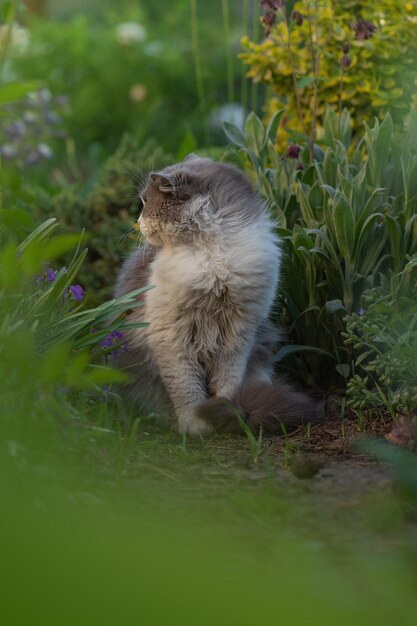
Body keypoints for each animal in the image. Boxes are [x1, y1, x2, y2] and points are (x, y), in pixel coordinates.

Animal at [114, 154, 316, 434]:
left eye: (145, 203)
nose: (138, 223)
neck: (212, 256)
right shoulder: (171, 337)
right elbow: (187, 390)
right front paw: (196, 426)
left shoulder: (238, 335)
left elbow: (227, 384)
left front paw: (225, 413)